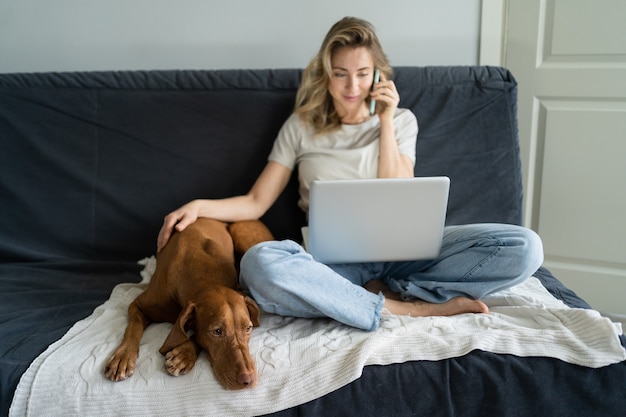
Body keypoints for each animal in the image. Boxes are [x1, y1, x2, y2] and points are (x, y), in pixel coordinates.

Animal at [103, 216, 272, 388]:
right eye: (217, 331)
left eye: (248, 328)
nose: (248, 379)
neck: (205, 277)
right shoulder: (137, 305)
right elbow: (133, 327)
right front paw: (123, 356)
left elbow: (193, 334)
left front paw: (183, 354)